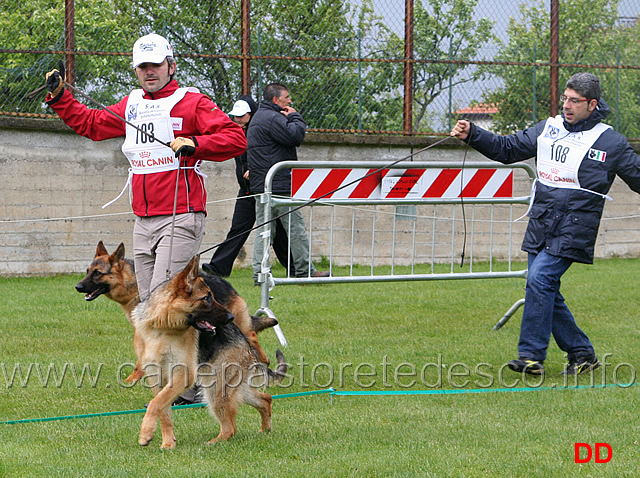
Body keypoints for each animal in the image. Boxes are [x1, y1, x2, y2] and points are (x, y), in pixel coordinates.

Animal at [75, 241, 276, 382]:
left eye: (97, 273)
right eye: (87, 271)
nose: (78, 287)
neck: (130, 285)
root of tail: (227, 284)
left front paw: (134, 377)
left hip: (235, 321)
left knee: (252, 335)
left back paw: (263, 360)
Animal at [134, 254, 286, 448]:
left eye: (212, 296)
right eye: (206, 298)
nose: (230, 318)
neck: (162, 327)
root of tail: (247, 344)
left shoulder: (183, 374)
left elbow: (156, 403)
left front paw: (146, 433)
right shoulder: (157, 377)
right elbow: (163, 409)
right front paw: (168, 443)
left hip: (215, 388)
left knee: (230, 428)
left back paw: (213, 443)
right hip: (227, 387)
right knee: (265, 398)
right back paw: (265, 430)